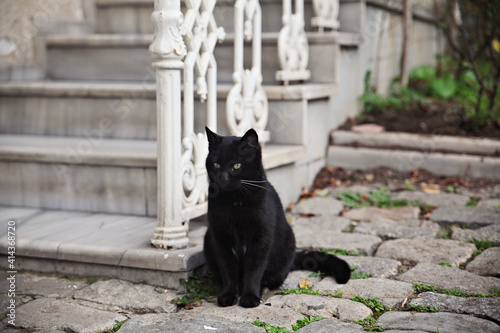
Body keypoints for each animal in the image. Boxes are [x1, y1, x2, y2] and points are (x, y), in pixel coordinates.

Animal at [205, 126, 350, 306]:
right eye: (216, 165)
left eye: (236, 166)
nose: (223, 178)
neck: (235, 203)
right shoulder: (220, 237)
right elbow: (228, 270)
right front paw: (228, 295)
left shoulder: (261, 239)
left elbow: (253, 270)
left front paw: (250, 297)